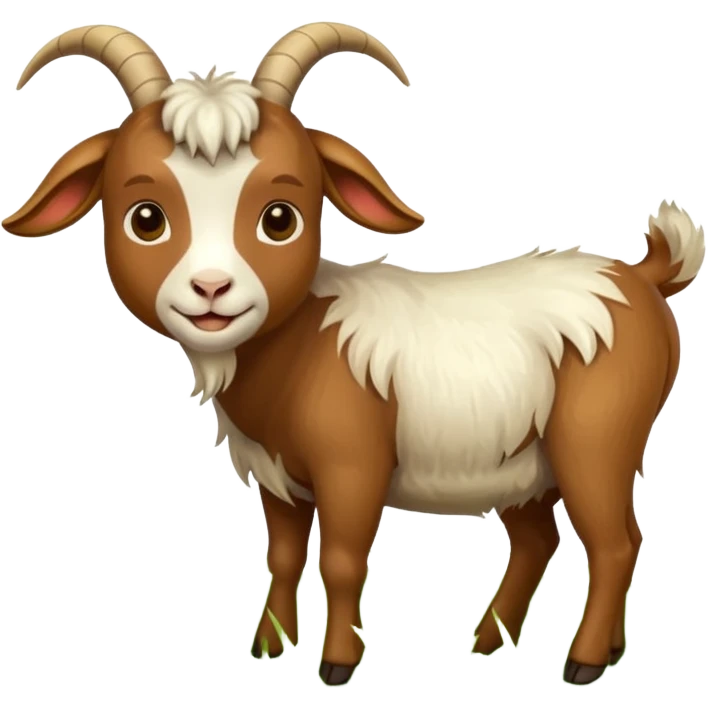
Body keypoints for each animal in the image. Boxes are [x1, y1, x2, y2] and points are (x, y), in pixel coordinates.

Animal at [2, 22, 705, 689]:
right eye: (145, 217)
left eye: (280, 218)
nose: (211, 289)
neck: (300, 347)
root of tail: (641, 275)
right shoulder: (278, 476)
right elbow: (284, 556)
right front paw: (270, 647)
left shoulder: (353, 467)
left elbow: (340, 560)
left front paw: (337, 665)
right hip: (523, 463)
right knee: (542, 539)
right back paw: (502, 642)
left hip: (597, 440)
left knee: (616, 543)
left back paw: (582, 663)